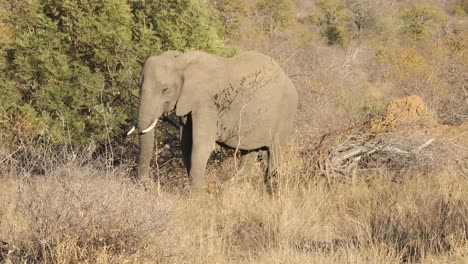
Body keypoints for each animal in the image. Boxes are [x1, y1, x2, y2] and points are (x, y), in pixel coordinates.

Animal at [126, 50, 298, 193]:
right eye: (139, 86)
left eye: (164, 89)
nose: (147, 185)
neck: (181, 60)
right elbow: (186, 144)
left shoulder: (207, 102)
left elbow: (202, 145)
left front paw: (196, 197)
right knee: (249, 153)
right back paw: (232, 187)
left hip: (285, 113)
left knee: (274, 152)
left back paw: (272, 192)